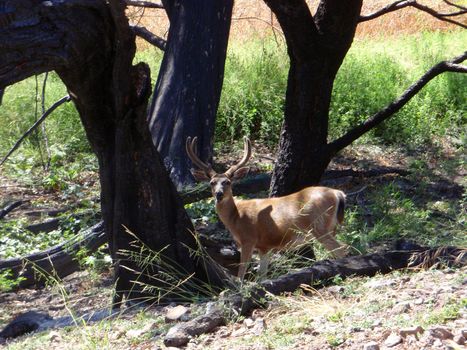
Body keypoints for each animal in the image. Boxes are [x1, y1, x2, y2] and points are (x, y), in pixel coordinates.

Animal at [188, 135, 350, 280]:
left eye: (227, 182)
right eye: (212, 183)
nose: (219, 194)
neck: (236, 216)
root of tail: (338, 193)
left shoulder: (249, 239)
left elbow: (241, 273)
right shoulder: (265, 246)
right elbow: (262, 275)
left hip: (319, 225)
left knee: (342, 248)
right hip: (330, 226)